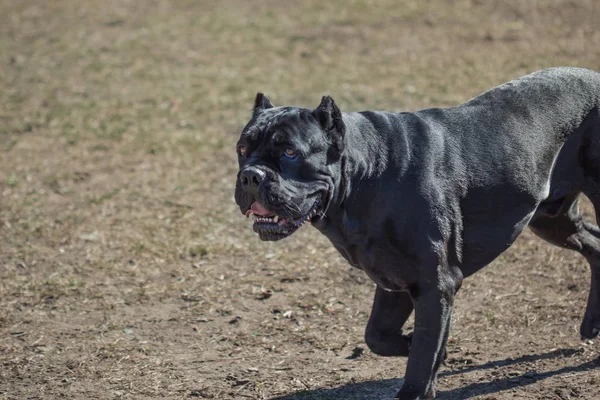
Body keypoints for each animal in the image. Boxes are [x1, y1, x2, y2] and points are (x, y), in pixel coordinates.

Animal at [233, 67, 600, 398]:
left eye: (290, 152)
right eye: (241, 150)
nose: (251, 175)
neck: (365, 177)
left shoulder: (436, 284)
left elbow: (421, 359)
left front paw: (423, 372)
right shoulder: (392, 279)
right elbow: (379, 336)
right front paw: (428, 351)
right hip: (552, 220)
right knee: (594, 245)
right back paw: (592, 325)